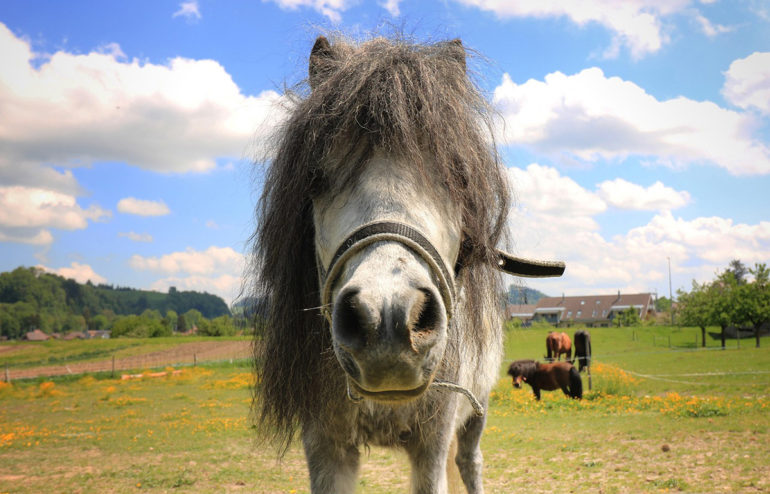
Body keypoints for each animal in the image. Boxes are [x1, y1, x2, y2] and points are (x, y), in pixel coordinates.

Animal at [251, 35, 514, 494]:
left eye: (458, 176)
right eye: (316, 178)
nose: (388, 317)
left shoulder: (432, 445)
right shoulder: (325, 448)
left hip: (477, 412)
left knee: (470, 461)